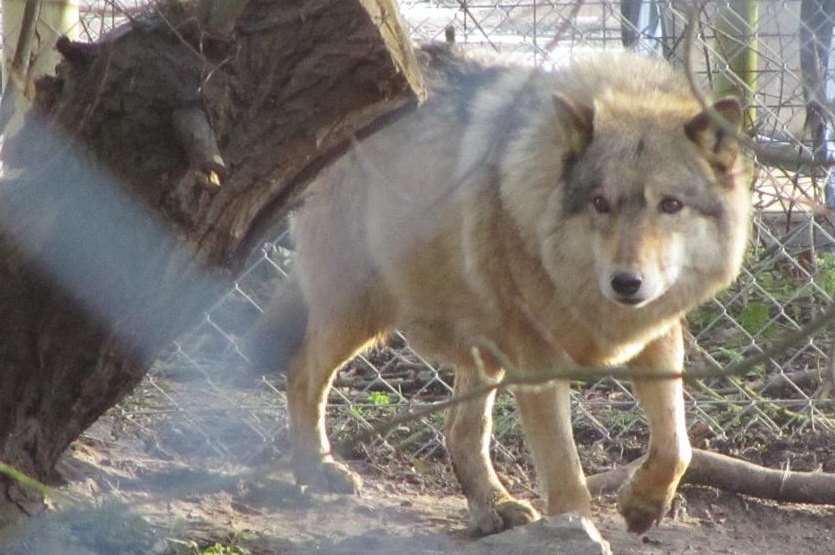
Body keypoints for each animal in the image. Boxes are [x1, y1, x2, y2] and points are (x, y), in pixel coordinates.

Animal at [248, 45, 752, 536]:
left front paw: (643, 505)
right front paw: (575, 531)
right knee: (302, 371)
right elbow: (567, 477)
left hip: (478, 347)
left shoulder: (657, 335)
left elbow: (676, 445)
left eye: (670, 205)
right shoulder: (537, 363)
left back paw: (495, 507)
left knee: (459, 431)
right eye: (600, 203)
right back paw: (315, 470)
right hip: (361, 310)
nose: (626, 282)